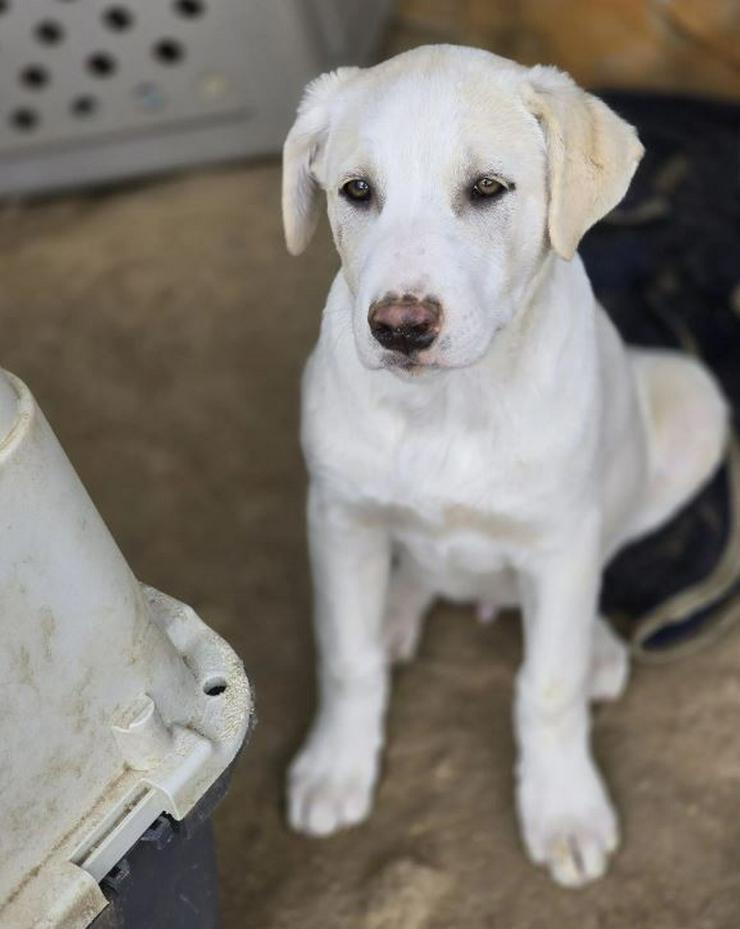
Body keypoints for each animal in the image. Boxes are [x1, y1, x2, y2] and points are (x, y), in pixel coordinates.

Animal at [280, 47, 724, 888]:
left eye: (487, 189)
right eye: (357, 191)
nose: (400, 326)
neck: (451, 404)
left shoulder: (559, 543)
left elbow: (546, 686)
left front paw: (564, 810)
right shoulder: (337, 518)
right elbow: (347, 657)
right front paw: (335, 766)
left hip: (697, 403)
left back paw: (599, 647)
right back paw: (397, 607)